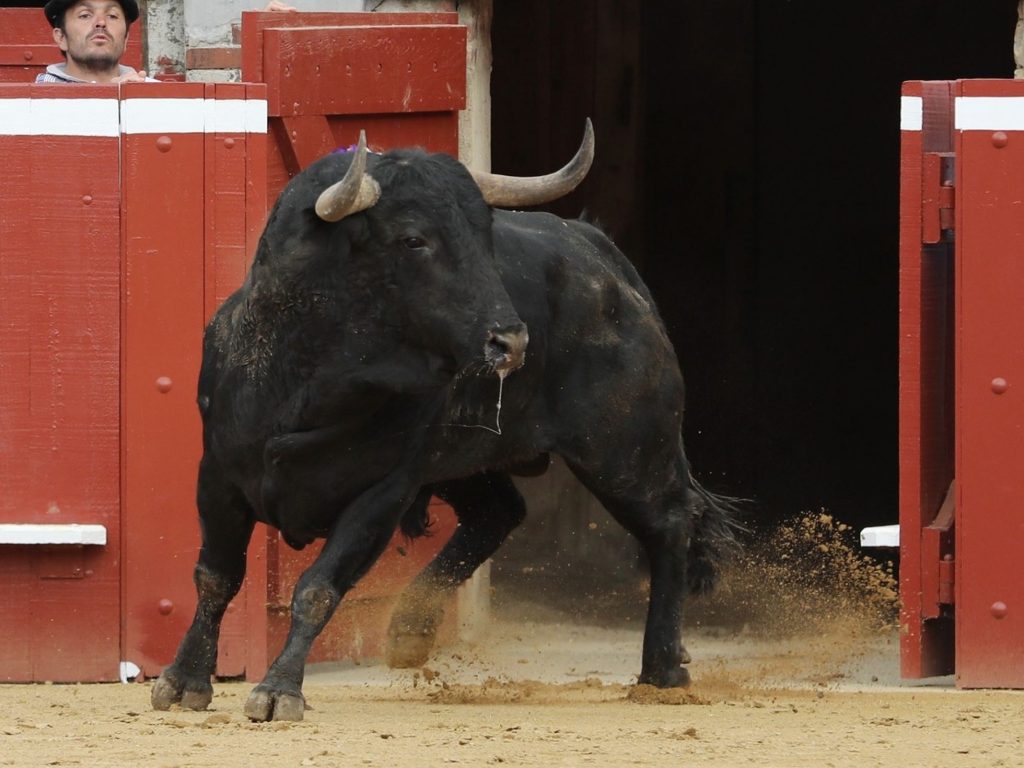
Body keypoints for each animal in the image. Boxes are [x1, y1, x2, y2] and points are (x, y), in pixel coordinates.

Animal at [151, 123, 741, 724]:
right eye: (414, 240)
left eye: (485, 236)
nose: (511, 342)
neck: (310, 376)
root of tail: (606, 258)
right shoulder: (219, 475)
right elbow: (215, 577)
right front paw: (184, 681)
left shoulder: (381, 493)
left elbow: (317, 588)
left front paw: (278, 690)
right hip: (470, 461)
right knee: (500, 512)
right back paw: (411, 629)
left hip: (625, 451)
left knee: (668, 524)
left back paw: (661, 668)